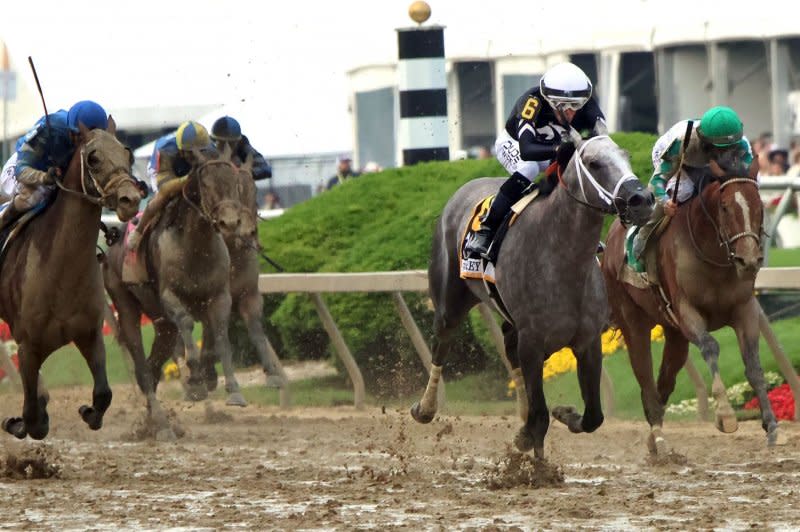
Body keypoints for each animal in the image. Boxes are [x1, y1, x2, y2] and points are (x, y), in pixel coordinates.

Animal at [0, 120, 144, 440]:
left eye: (127, 153)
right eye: (93, 158)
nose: (131, 199)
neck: (61, 273)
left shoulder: (89, 333)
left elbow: (103, 394)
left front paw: (88, 412)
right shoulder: (27, 347)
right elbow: (32, 418)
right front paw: (18, 421)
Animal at [103, 145, 253, 432]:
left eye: (234, 184)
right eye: (207, 184)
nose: (230, 223)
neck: (195, 248)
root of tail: (111, 244)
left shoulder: (219, 296)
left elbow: (220, 335)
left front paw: (232, 390)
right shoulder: (170, 297)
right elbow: (186, 322)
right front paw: (195, 382)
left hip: (162, 325)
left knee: (153, 366)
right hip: (124, 303)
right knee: (141, 364)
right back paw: (159, 422)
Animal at [412, 131, 656, 460]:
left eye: (626, 155)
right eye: (594, 163)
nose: (642, 200)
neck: (562, 260)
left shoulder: (588, 341)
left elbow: (593, 416)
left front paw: (564, 414)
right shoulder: (533, 342)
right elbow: (540, 417)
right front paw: (534, 457)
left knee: (507, 346)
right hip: (449, 301)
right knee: (441, 344)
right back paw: (425, 408)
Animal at [604, 166, 780, 454]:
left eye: (759, 204)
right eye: (724, 207)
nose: (749, 260)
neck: (714, 257)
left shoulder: (745, 309)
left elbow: (753, 364)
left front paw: (771, 424)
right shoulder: (686, 312)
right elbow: (710, 347)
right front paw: (725, 414)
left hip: (674, 334)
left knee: (665, 381)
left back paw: (654, 437)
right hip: (632, 318)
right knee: (644, 376)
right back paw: (659, 438)